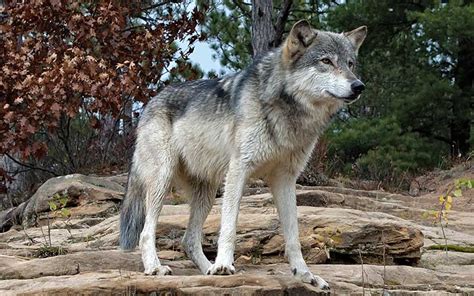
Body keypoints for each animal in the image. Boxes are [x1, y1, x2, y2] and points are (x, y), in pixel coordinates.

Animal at [118, 19, 366, 290]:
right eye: (326, 61)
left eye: (350, 64)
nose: (358, 86)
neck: (286, 111)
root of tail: (150, 103)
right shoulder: (239, 169)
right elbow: (229, 226)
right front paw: (224, 265)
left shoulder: (285, 179)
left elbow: (293, 235)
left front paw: (305, 275)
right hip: (163, 180)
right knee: (146, 232)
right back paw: (156, 268)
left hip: (207, 193)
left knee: (189, 240)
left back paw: (207, 270)